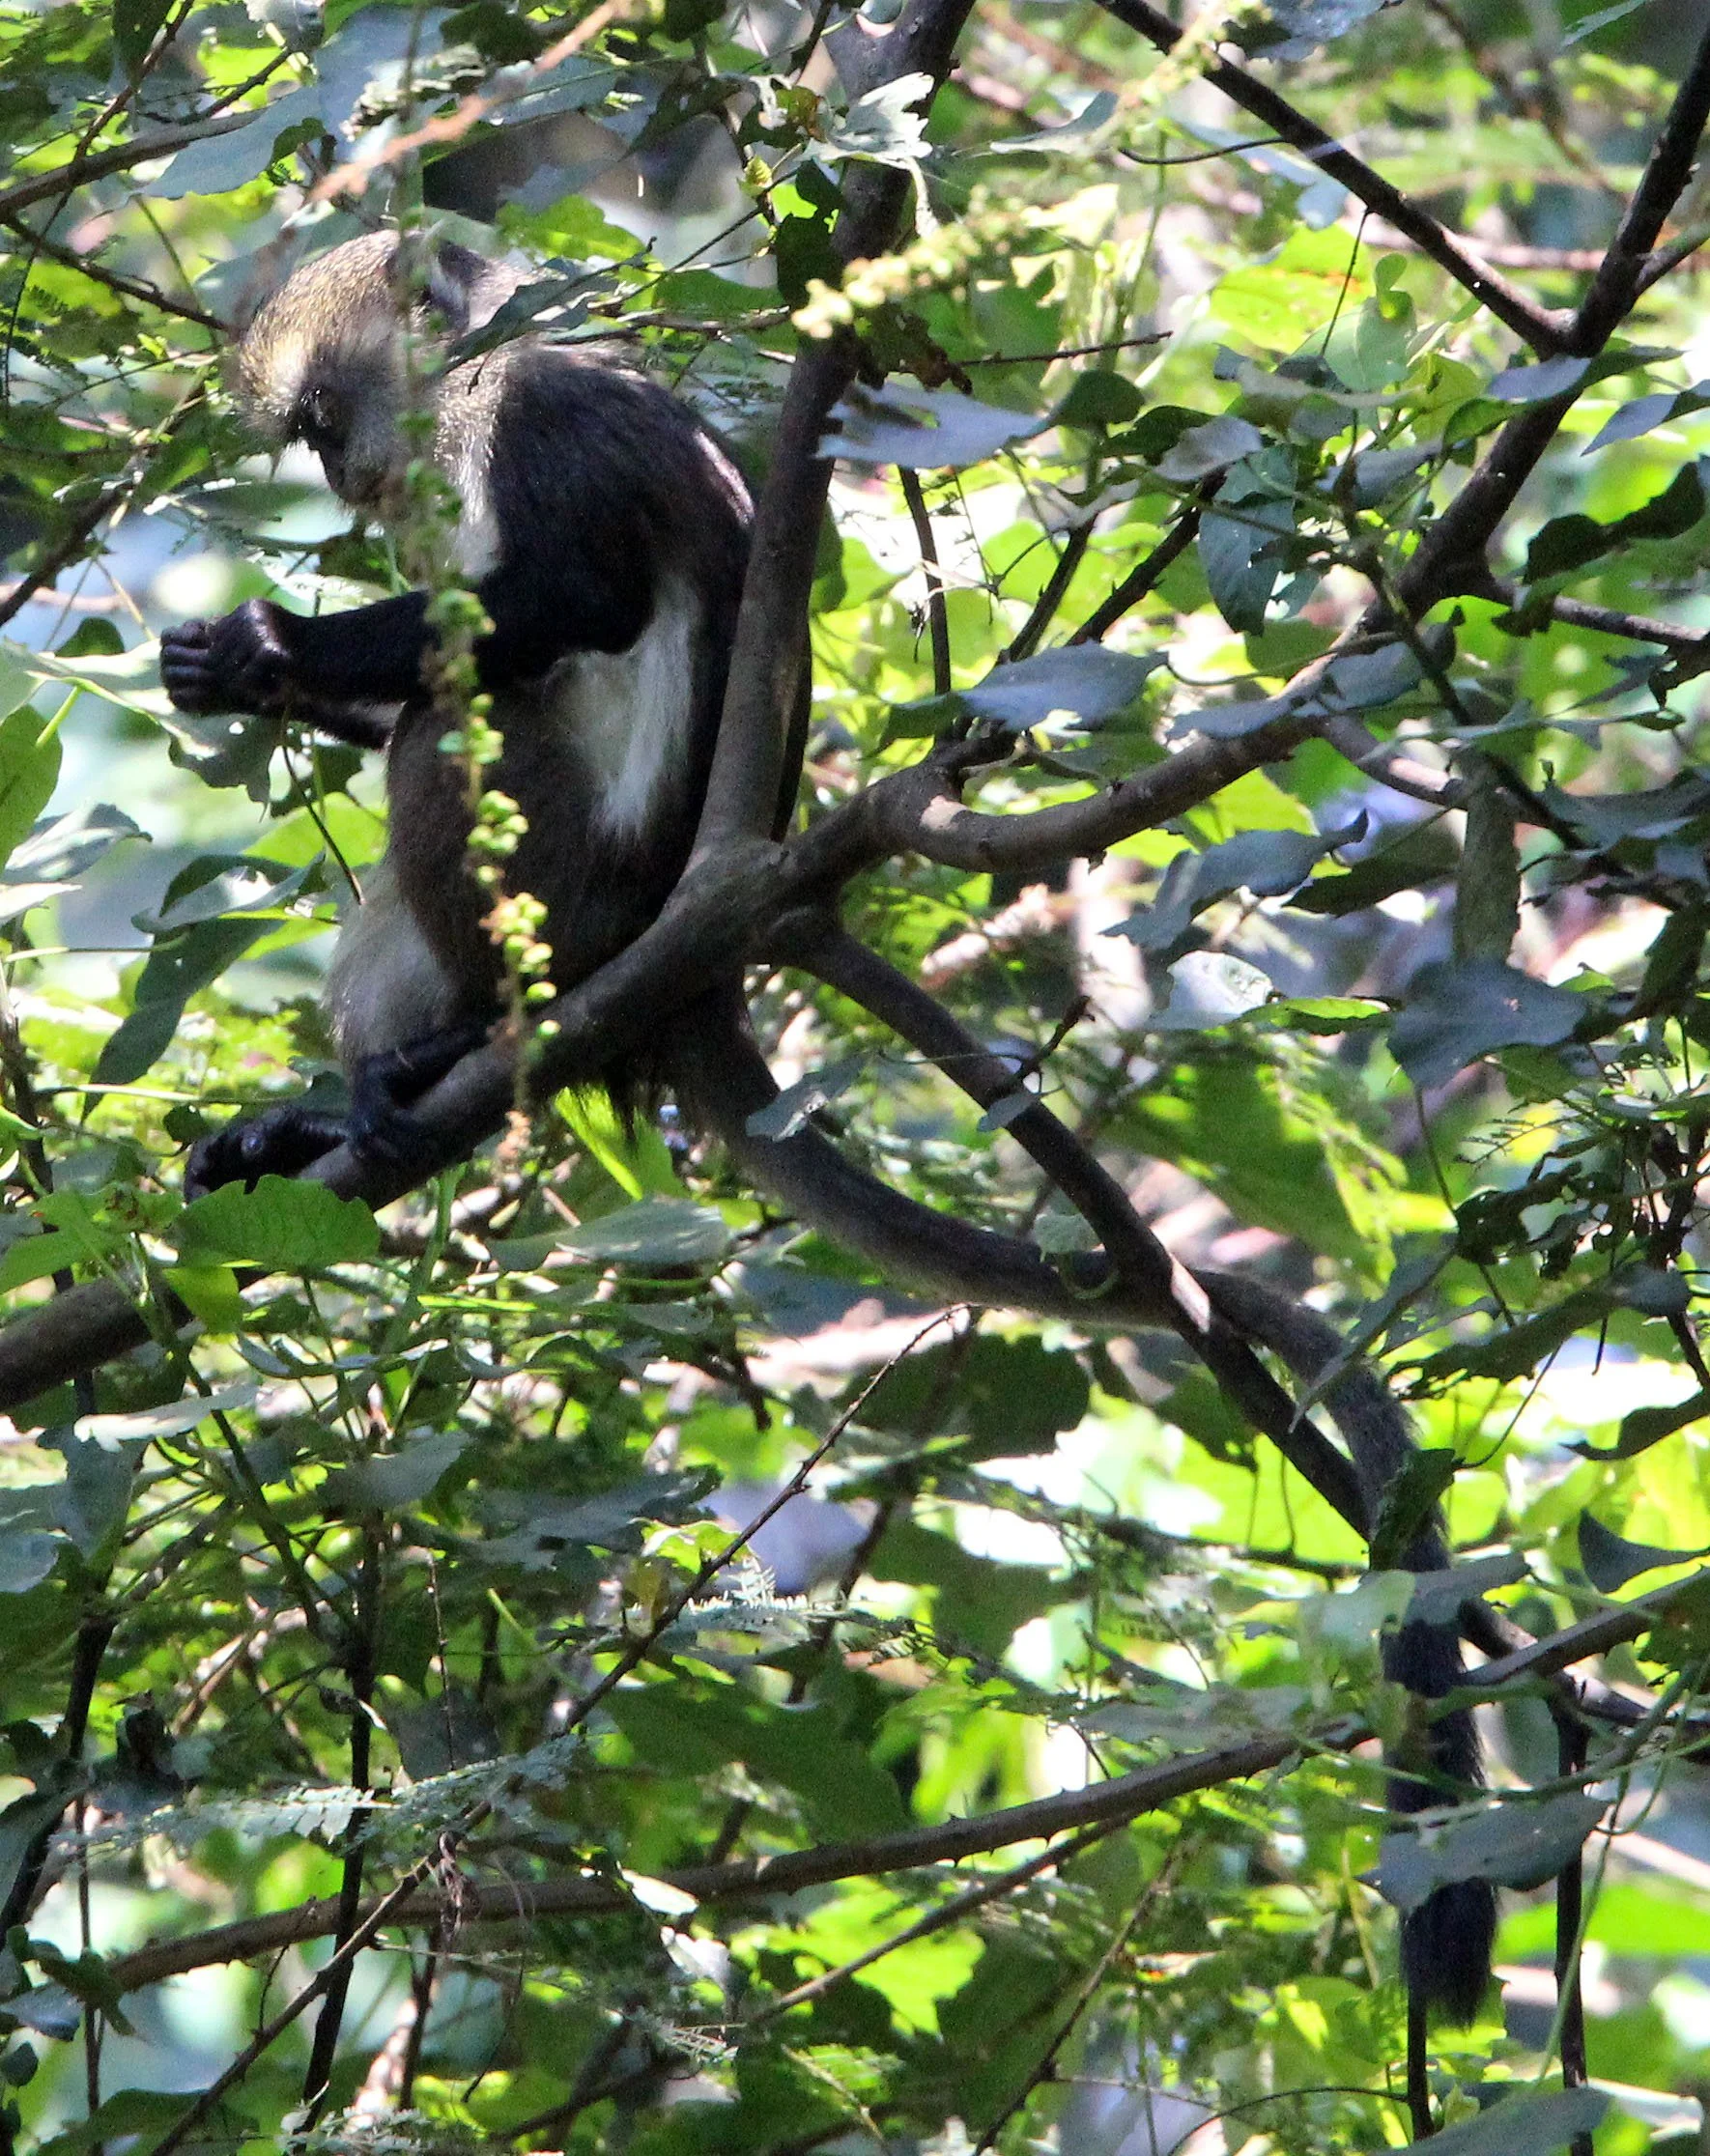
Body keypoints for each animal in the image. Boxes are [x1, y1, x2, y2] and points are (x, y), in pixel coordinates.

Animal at [157, 228, 1494, 2026]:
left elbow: (565, 610)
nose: (336, 483)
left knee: (463, 725)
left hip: (565, 886)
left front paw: (269, 650)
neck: (488, 370)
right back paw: (328, 1124)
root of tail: (679, 966)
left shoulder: (542, 417)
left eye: (316, 426)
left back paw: (448, 1049)